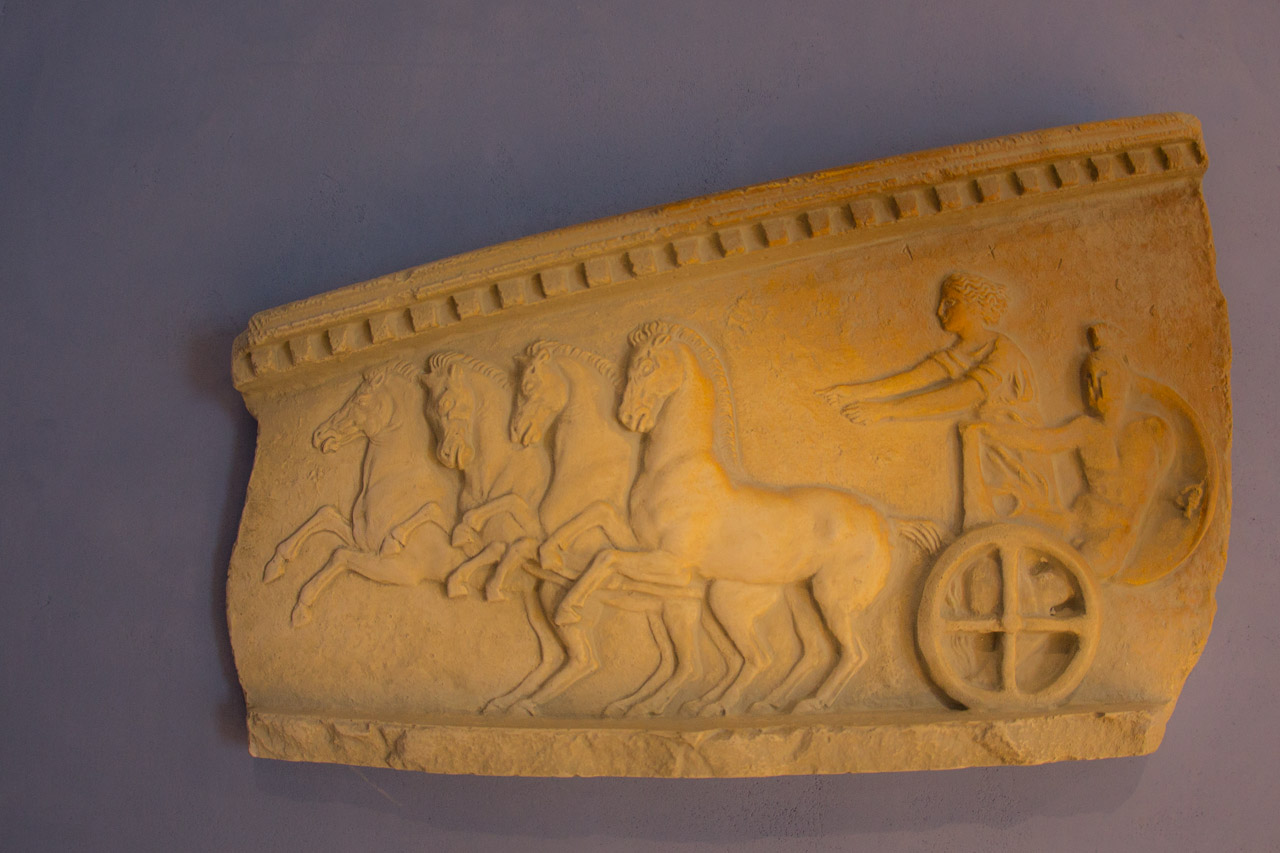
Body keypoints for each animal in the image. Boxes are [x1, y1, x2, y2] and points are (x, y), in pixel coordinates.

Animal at [261, 360, 462, 628]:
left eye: (361, 399)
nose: (320, 435)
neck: (395, 482)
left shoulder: (399, 570)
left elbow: (339, 555)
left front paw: (301, 607)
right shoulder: (362, 540)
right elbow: (325, 514)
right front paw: (275, 565)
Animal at [498, 340, 739, 717]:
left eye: (528, 386)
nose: (517, 431)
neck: (588, 470)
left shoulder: (577, 569)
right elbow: (520, 539)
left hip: (684, 611)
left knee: (691, 665)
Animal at [555, 321, 941, 714]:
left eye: (647, 366)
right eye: (628, 366)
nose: (630, 417)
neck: (678, 465)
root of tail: (889, 521)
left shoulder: (674, 565)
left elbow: (606, 556)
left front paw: (567, 610)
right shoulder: (644, 545)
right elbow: (599, 514)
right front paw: (551, 554)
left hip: (815, 599)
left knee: (845, 654)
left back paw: (805, 704)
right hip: (795, 599)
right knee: (811, 652)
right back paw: (757, 704)